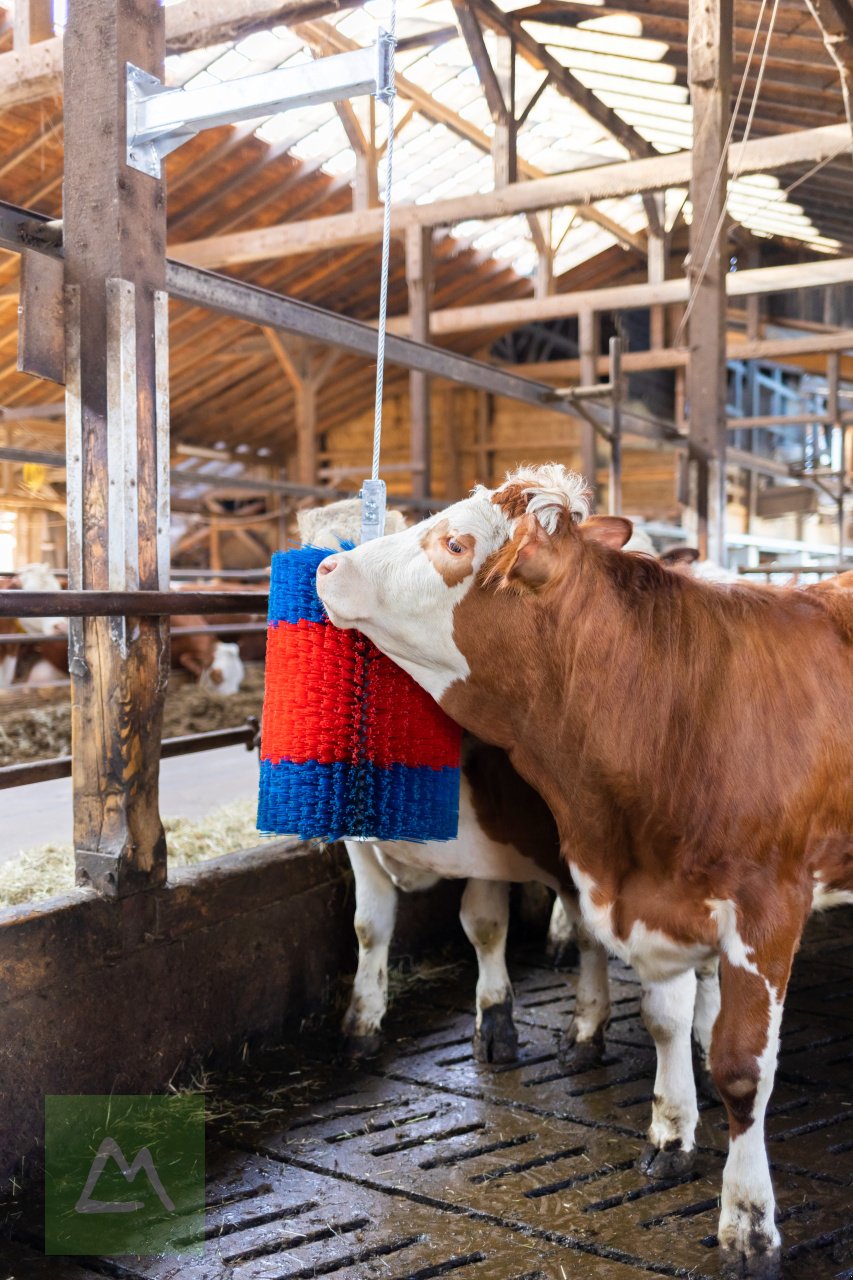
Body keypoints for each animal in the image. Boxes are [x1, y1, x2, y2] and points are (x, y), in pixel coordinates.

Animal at [318, 465, 850, 1280]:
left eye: (454, 543)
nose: (324, 567)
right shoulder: (645, 898)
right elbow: (661, 1019)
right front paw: (670, 1131)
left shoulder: (767, 907)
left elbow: (742, 1069)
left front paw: (747, 1223)